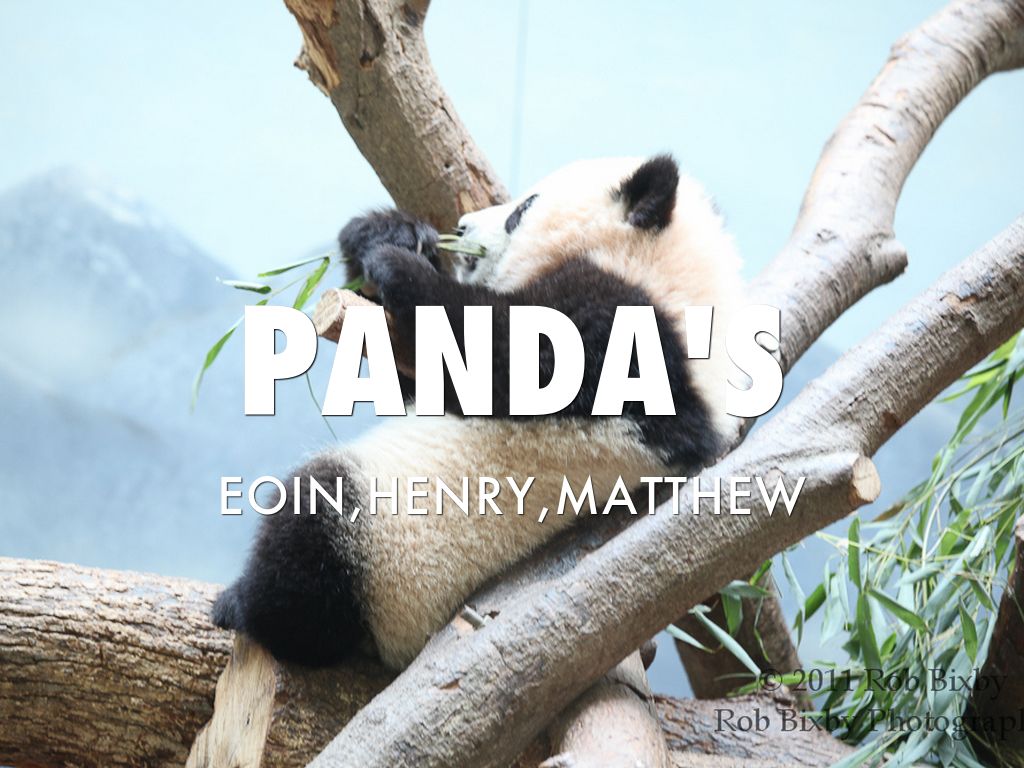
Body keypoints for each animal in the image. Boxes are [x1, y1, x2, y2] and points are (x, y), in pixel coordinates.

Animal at [213, 155, 743, 670]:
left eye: (522, 209)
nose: (462, 226)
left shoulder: (626, 330)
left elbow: (507, 353)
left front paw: (399, 264)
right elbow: (415, 380)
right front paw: (385, 233)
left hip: (391, 554)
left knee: (313, 531)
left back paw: (243, 605)